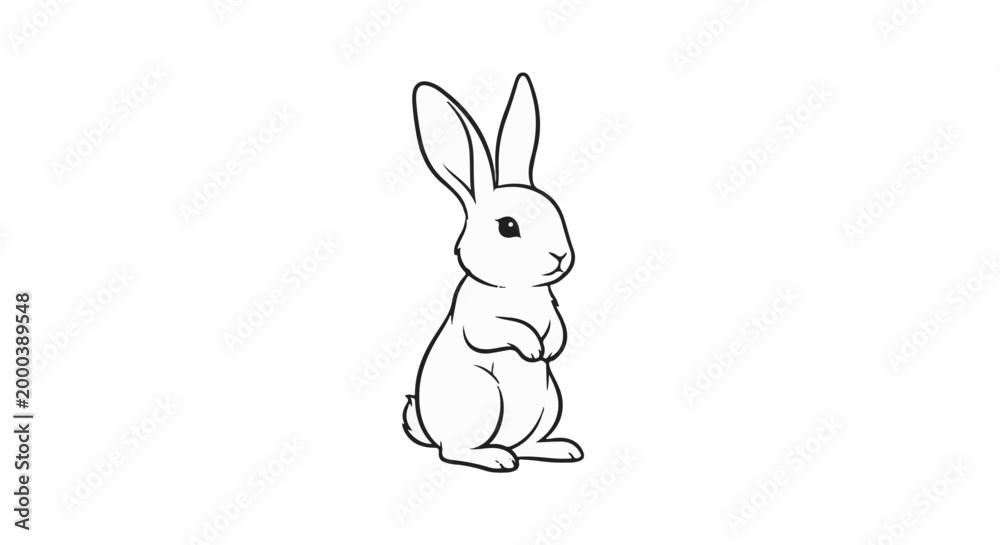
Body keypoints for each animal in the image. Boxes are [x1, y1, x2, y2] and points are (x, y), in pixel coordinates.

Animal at [402, 73, 582, 472]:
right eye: (508, 226)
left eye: (556, 211)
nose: (562, 257)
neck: (516, 286)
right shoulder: (477, 321)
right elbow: (500, 331)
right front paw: (534, 349)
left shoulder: (550, 307)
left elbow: (557, 326)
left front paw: (551, 347)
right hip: (482, 397)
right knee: (453, 451)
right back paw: (497, 458)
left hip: (549, 402)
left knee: (527, 443)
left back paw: (560, 449)